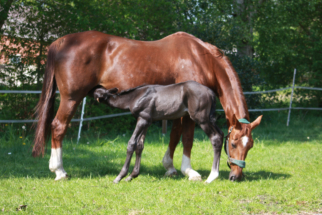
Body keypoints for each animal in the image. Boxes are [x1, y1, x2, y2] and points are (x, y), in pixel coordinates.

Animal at [93, 80, 224, 183]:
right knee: (221, 135)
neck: (135, 96)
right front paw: (132, 176)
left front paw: (120, 176)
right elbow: (139, 146)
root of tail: (210, 92)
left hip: (201, 119)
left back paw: (212, 176)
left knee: (215, 138)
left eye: (96, 93)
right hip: (209, 119)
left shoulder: (142, 119)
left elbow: (131, 143)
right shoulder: (146, 121)